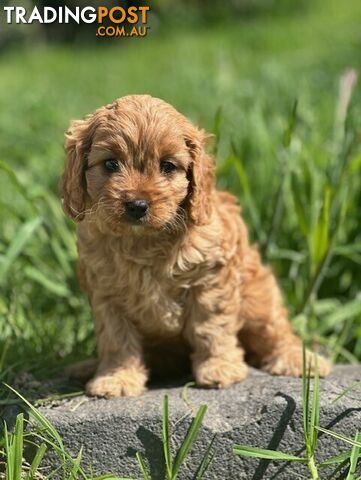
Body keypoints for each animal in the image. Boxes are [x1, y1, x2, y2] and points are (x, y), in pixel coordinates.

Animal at [59, 94, 330, 398]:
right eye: (110, 164)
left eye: (167, 166)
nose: (137, 205)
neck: (144, 240)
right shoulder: (107, 294)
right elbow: (117, 339)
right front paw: (117, 377)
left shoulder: (210, 283)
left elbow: (211, 328)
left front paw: (219, 368)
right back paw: (86, 367)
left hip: (259, 298)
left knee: (275, 331)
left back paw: (299, 360)